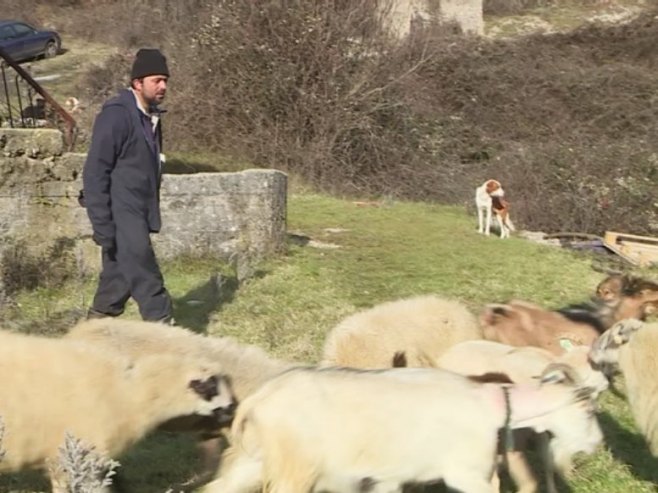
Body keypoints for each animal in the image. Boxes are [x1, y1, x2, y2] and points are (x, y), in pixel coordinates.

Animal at [202, 364, 604, 490]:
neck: (491, 405)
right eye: (588, 411)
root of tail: (260, 399)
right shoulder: (464, 473)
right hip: (295, 470)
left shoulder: (389, 477)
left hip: (254, 461)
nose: (597, 444)